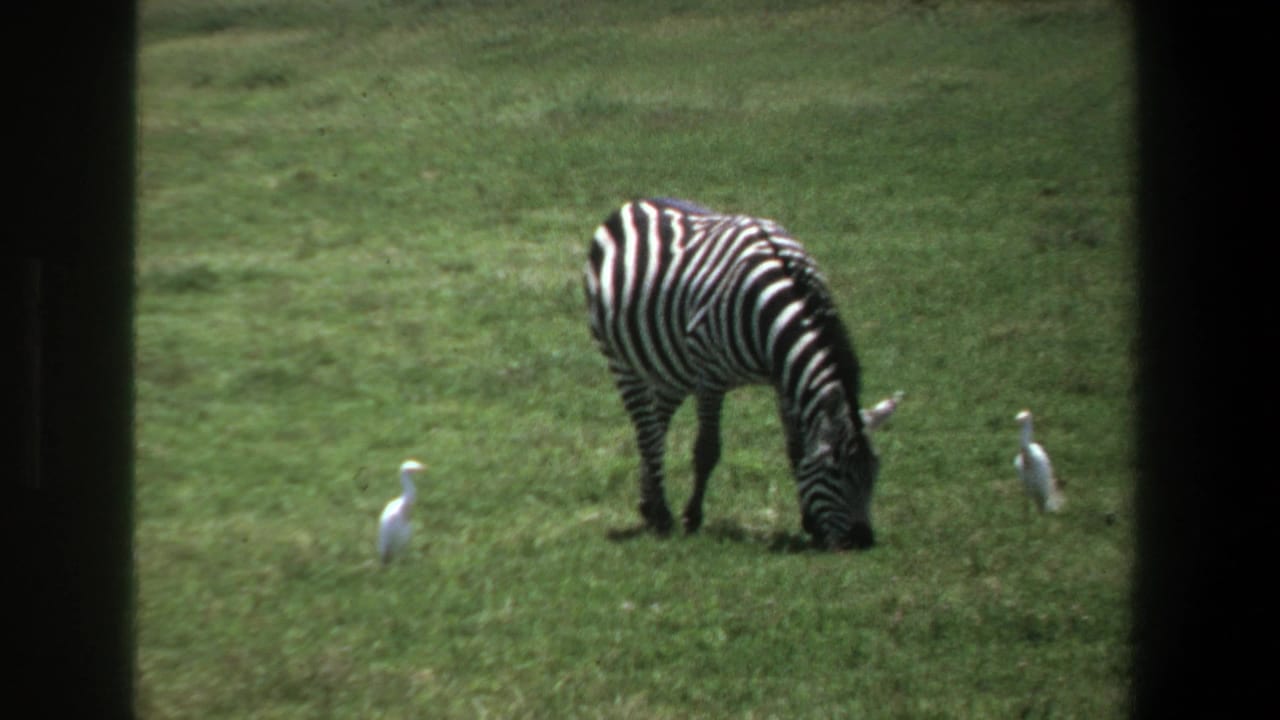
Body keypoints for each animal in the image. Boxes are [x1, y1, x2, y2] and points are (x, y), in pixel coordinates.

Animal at [583, 198, 880, 550]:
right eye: (836, 471)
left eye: (875, 472)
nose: (863, 541)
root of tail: (636, 203)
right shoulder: (711, 376)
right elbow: (707, 450)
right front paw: (692, 518)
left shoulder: (783, 381)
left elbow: (796, 449)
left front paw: (809, 521)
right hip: (622, 360)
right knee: (647, 432)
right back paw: (662, 516)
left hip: (673, 369)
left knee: (657, 423)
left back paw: (649, 504)